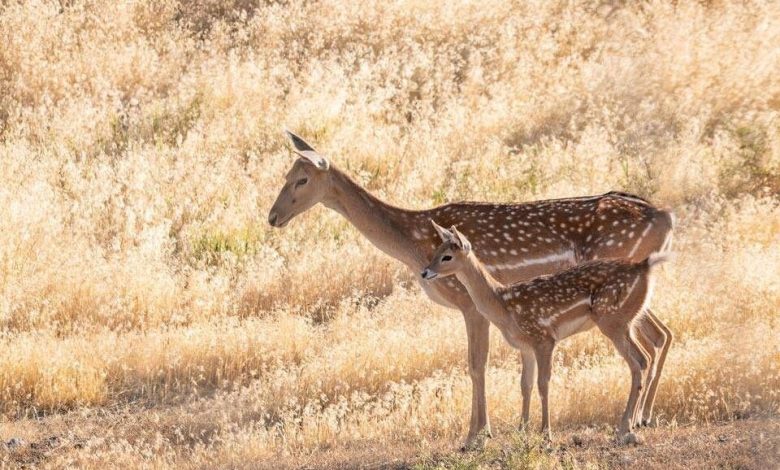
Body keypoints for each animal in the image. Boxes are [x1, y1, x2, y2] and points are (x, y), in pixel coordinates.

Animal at [420, 223, 672, 440]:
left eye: (447, 256)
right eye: (436, 250)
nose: (425, 272)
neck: (503, 305)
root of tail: (644, 266)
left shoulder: (544, 337)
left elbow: (544, 383)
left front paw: (545, 433)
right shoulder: (525, 346)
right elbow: (525, 384)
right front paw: (521, 430)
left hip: (613, 320)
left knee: (639, 361)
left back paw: (624, 427)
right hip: (628, 319)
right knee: (647, 354)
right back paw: (634, 422)